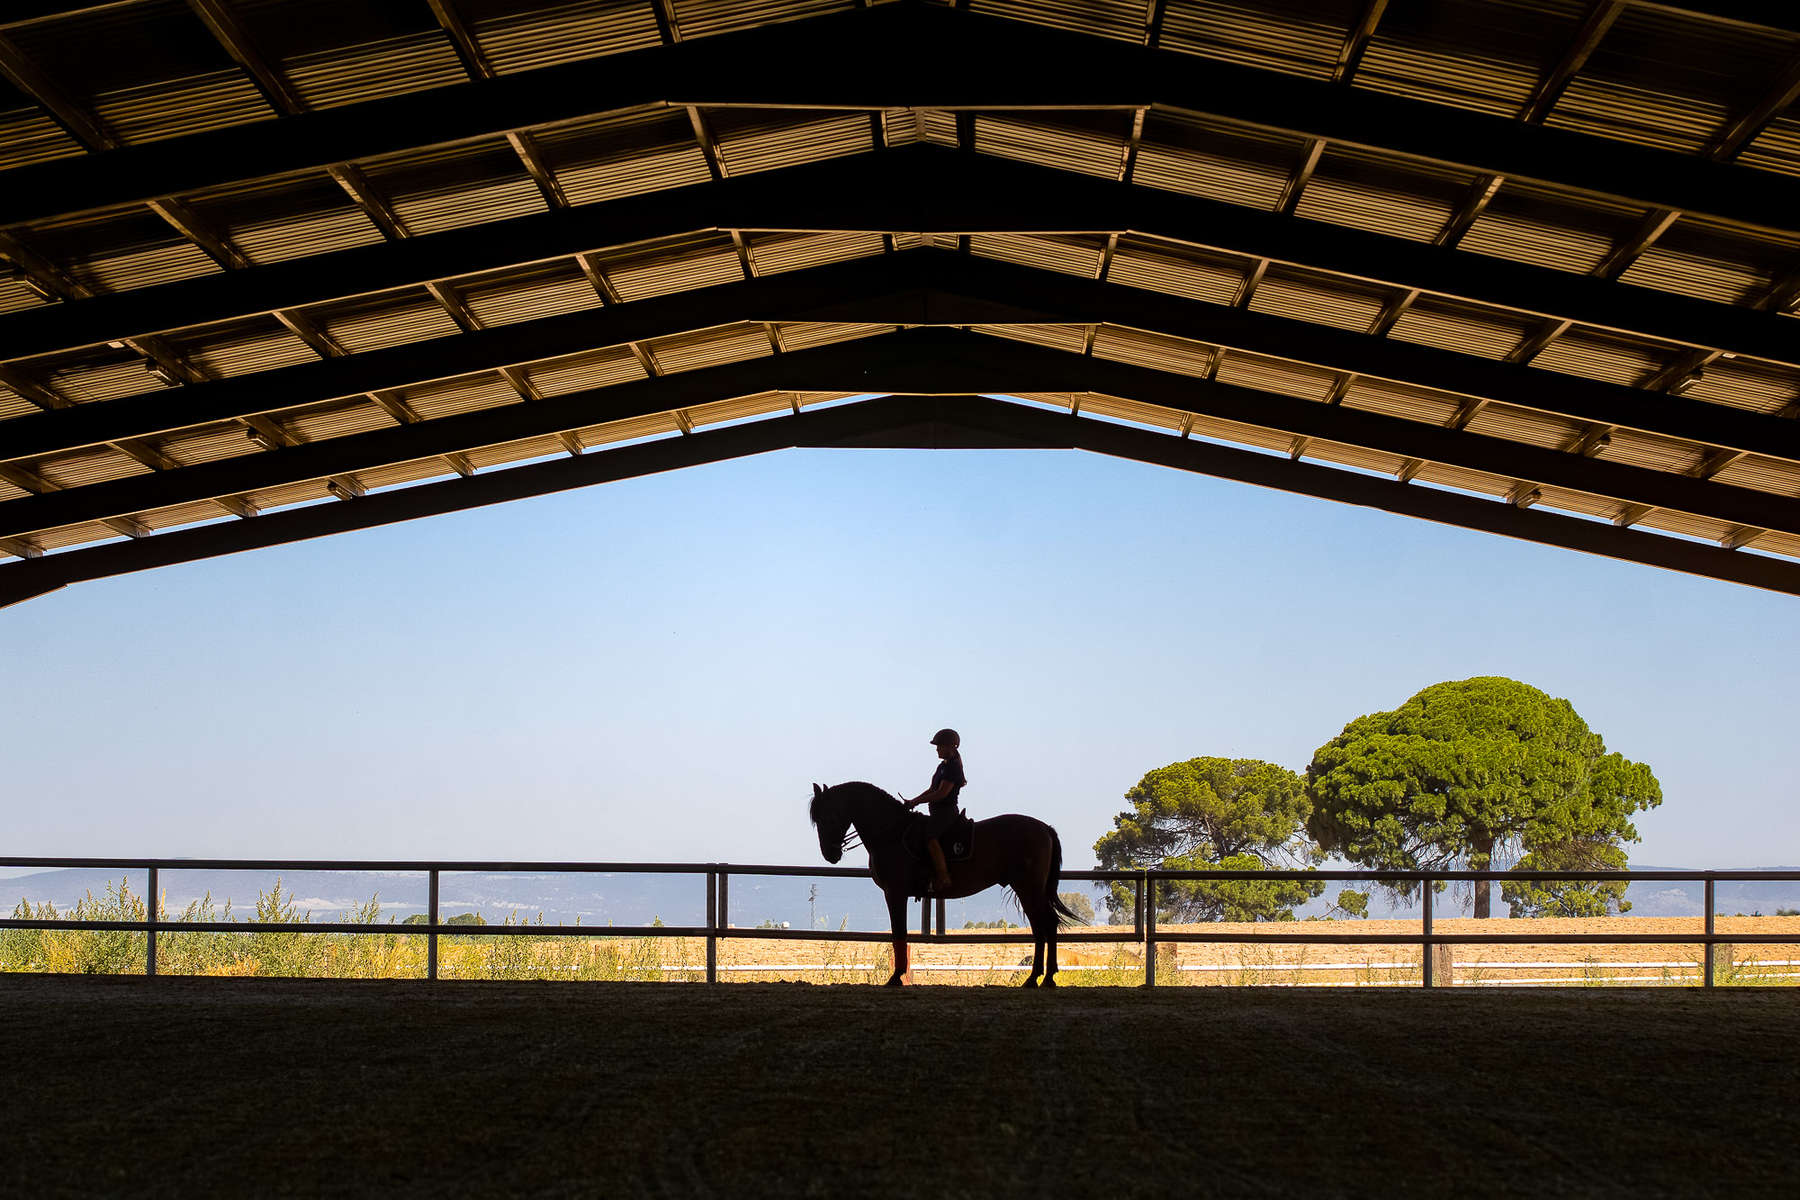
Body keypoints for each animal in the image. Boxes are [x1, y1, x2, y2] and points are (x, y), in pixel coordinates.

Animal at [810, 784, 1072, 993]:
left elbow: (899, 933)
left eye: (827, 817)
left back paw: (1041, 978)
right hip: (1030, 889)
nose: (830, 854)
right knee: (1043, 927)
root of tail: (1044, 828)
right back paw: (1041, 978)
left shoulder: (895, 893)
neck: (891, 832)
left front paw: (896, 977)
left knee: (1045, 926)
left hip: (1029, 888)